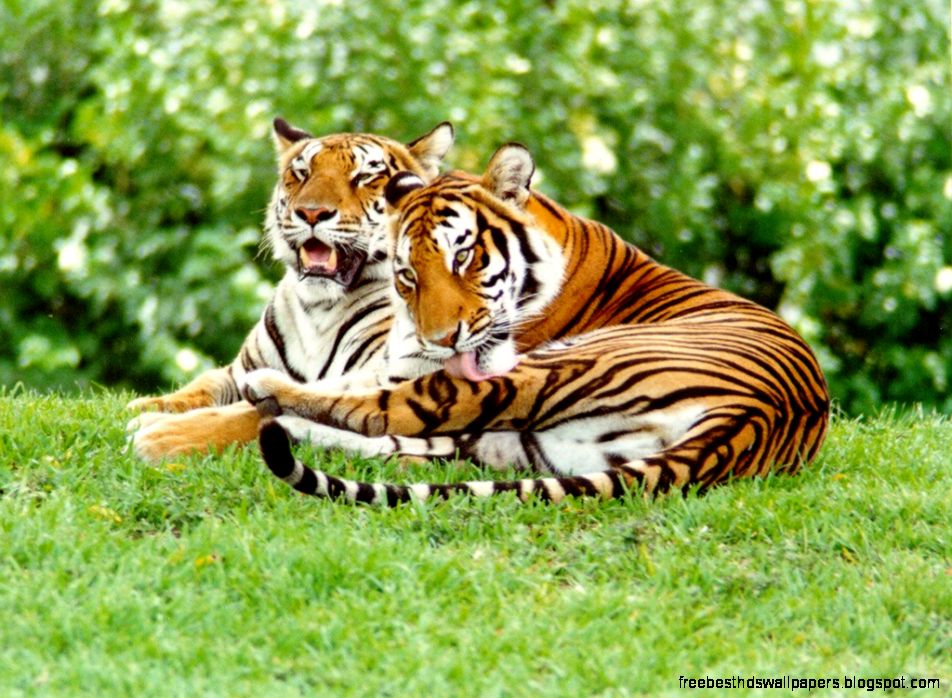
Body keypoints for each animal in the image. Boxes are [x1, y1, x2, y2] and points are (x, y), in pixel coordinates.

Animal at [126, 117, 454, 461]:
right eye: (302, 173)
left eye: (364, 177)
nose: (311, 212)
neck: (318, 308)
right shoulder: (240, 371)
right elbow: (203, 385)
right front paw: (146, 406)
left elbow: (253, 413)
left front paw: (159, 435)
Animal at [242, 142, 830, 504]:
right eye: (408, 274)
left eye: (463, 257)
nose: (440, 339)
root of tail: (752, 418)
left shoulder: (413, 367)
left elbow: (357, 393)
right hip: (528, 444)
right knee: (419, 445)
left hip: (552, 366)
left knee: (387, 415)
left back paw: (270, 398)